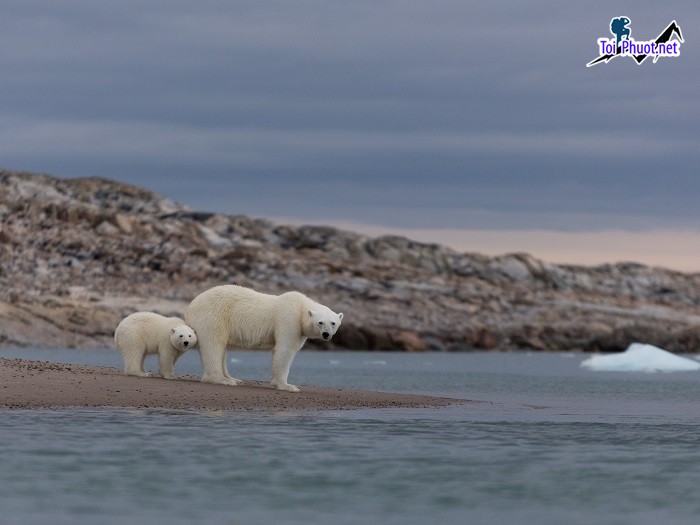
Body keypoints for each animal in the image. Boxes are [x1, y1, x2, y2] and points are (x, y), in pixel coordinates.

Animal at [183, 284, 342, 390]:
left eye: (333, 323)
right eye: (320, 322)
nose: (326, 334)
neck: (301, 306)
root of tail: (190, 307)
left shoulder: (300, 330)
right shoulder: (289, 319)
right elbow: (285, 350)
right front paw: (287, 385)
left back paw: (232, 378)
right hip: (213, 316)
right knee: (214, 344)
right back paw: (222, 379)